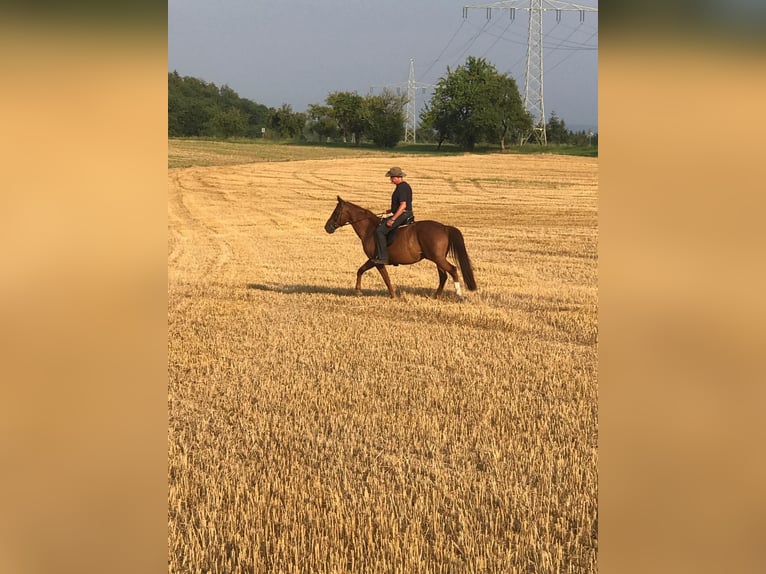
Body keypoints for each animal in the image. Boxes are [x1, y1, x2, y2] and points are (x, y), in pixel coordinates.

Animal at [322, 196, 476, 300]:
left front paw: (389, 295)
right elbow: (365, 272)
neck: (369, 229)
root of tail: (444, 227)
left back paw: (459, 295)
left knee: (453, 270)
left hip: (438, 258)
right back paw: (436, 296)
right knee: (443, 276)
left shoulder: (375, 261)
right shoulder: (374, 261)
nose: (327, 227)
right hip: (437, 259)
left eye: (335, 212)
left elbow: (379, 276)